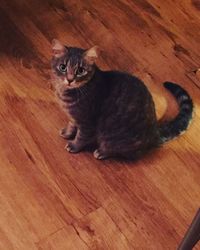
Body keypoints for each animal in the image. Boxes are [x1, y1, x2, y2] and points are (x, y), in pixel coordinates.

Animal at [50, 39, 193, 160]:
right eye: (63, 67)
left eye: (80, 70)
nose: (69, 79)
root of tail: (154, 131)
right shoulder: (74, 117)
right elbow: (71, 124)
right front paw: (67, 132)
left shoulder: (87, 123)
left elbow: (81, 137)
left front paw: (73, 145)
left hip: (113, 138)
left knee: (115, 149)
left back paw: (101, 152)